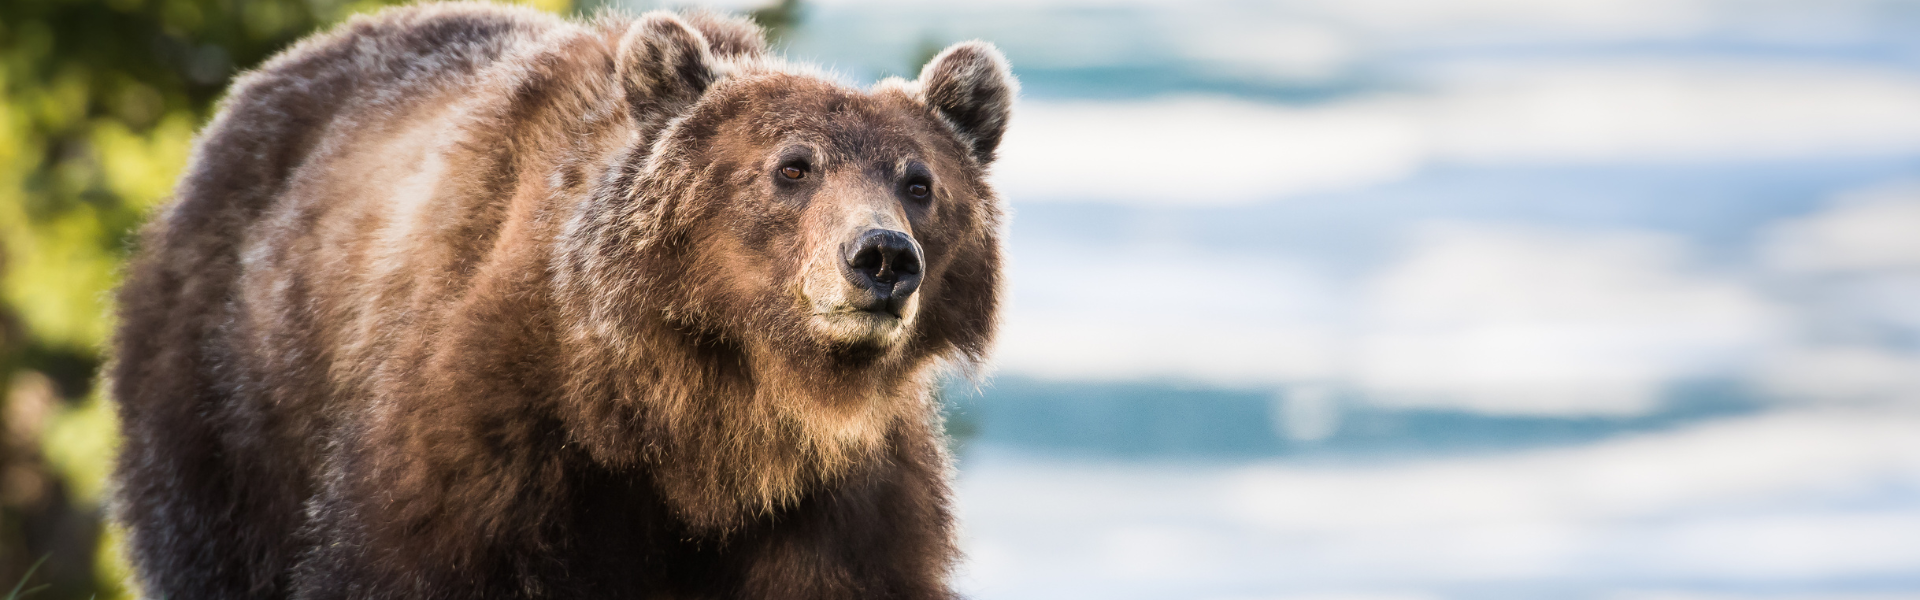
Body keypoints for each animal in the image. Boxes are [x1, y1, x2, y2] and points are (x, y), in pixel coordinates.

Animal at [107, 2, 1013, 596]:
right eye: (793, 166)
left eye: (920, 182)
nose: (882, 257)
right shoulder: (493, 433)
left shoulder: (838, 505)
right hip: (234, 402)